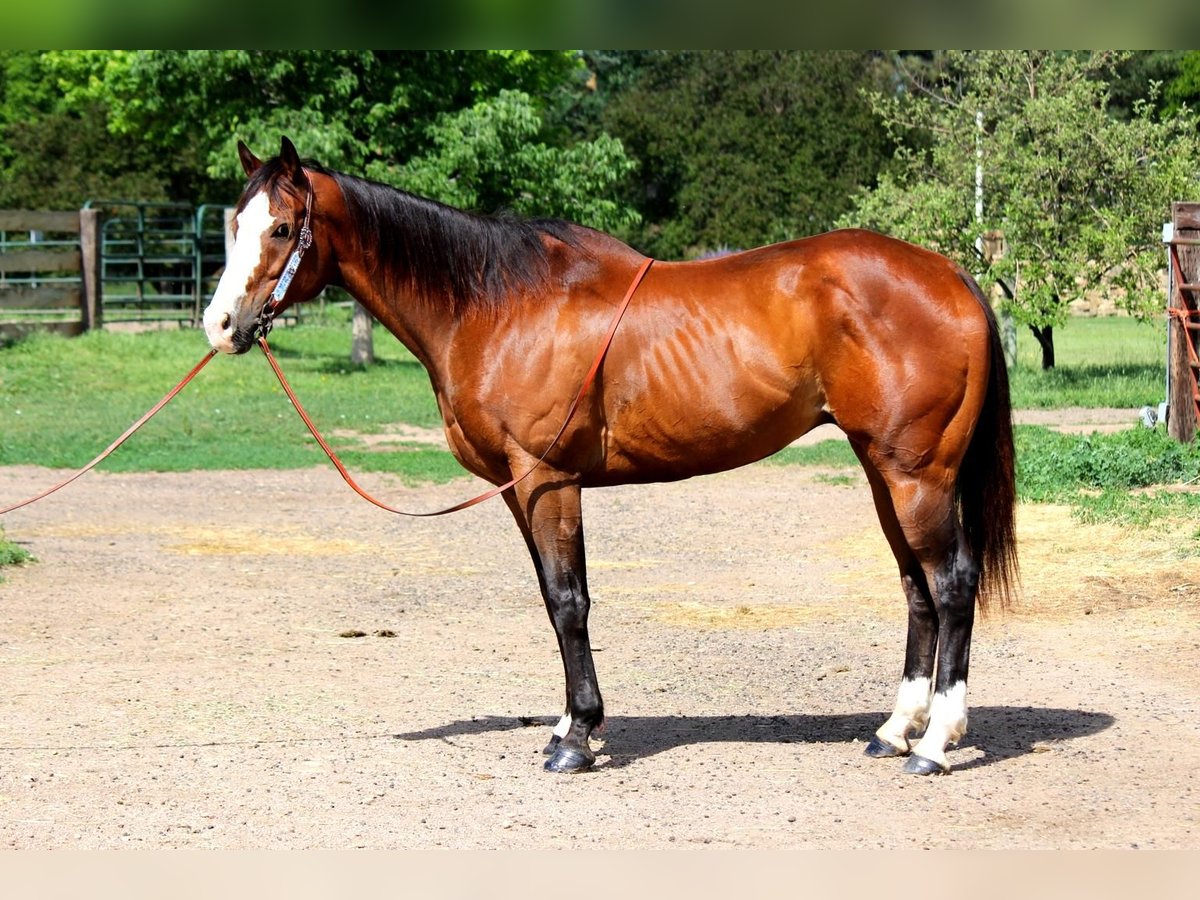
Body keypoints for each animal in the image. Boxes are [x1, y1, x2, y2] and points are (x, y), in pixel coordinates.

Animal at [203, 137, 1018, 776]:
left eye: (282, 227)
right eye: (234, 224)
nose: (220, 325)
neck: (497, 306)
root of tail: (951, 274)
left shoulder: (548, 480)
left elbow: (570, 603)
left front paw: (577, 740)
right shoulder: (518, 490)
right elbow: (552, 598)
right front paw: (569, 725)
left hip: (917, 475)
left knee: (952, 584)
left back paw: (935, 743)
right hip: (882, 472)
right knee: (916, 588)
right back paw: (894, 730)